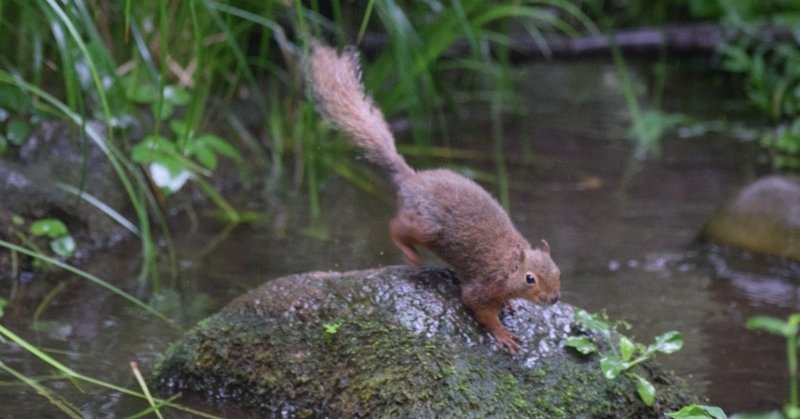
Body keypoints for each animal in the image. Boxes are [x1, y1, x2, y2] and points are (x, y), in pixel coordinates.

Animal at [306, 41, 564, 356]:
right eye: (530, 278)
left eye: (558, 271)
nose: (553, 298)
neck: (506, 264)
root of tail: (411, 179)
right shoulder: (483, 284)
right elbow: (478, 307)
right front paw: (503, 335)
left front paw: (509, 305)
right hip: (426, 225)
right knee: (396, 227)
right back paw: (410, 254)